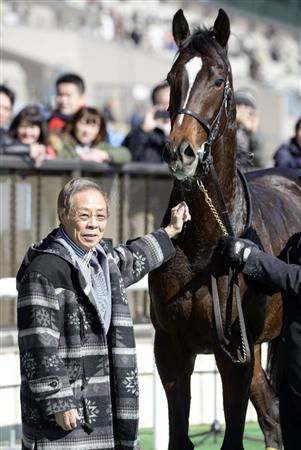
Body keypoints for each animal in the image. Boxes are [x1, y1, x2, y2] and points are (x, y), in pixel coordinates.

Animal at [149, 7, 300, 450]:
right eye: (171, 78)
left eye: (218, 80)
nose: (180, 151)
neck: (205, 246)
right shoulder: (171, 349)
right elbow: (178, 435)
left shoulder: (233, 356)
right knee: (272, 417)